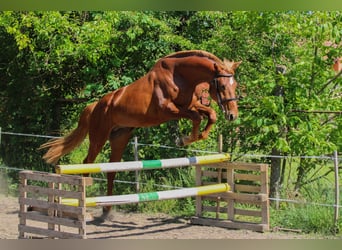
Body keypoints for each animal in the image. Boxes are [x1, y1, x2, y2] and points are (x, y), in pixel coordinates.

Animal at [40, 50, 240, 217]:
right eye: (222, 86)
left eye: (235, 85)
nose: (232, 115)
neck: (179, 76)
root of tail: (95, 106)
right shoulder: (169, 110)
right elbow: (197, 117)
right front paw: (184, 139)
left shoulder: (190, 105)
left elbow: (210, 114)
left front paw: (195, 137)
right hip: (98, 136)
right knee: (87, 163)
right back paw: (87, 201)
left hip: (119, 138)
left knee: (111, 170)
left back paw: (107, 209)